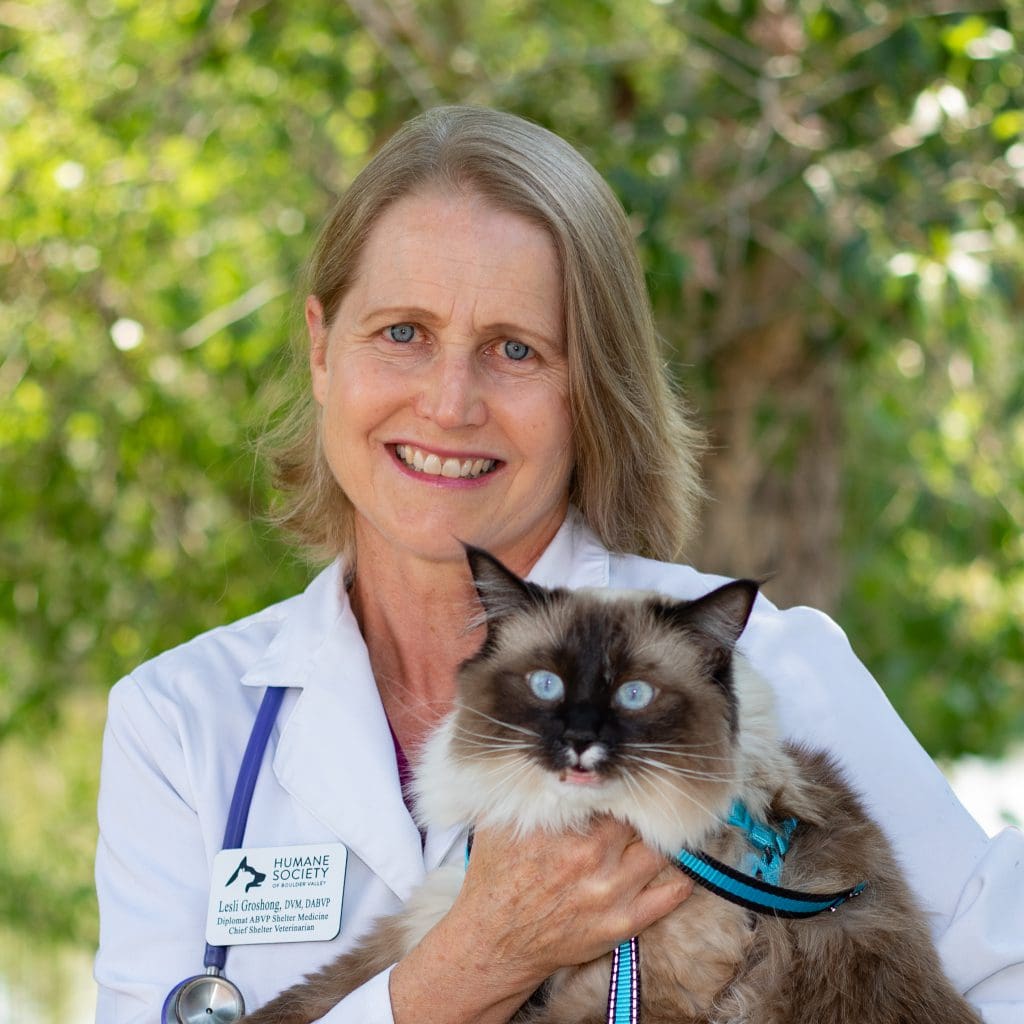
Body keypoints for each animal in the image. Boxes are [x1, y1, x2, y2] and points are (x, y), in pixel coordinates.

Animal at [241, 548, 983, 1019]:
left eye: (633, 695)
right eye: (547, 684)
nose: (578, 739)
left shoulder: (633, 993)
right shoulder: (439, 919)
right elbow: (327, 994)